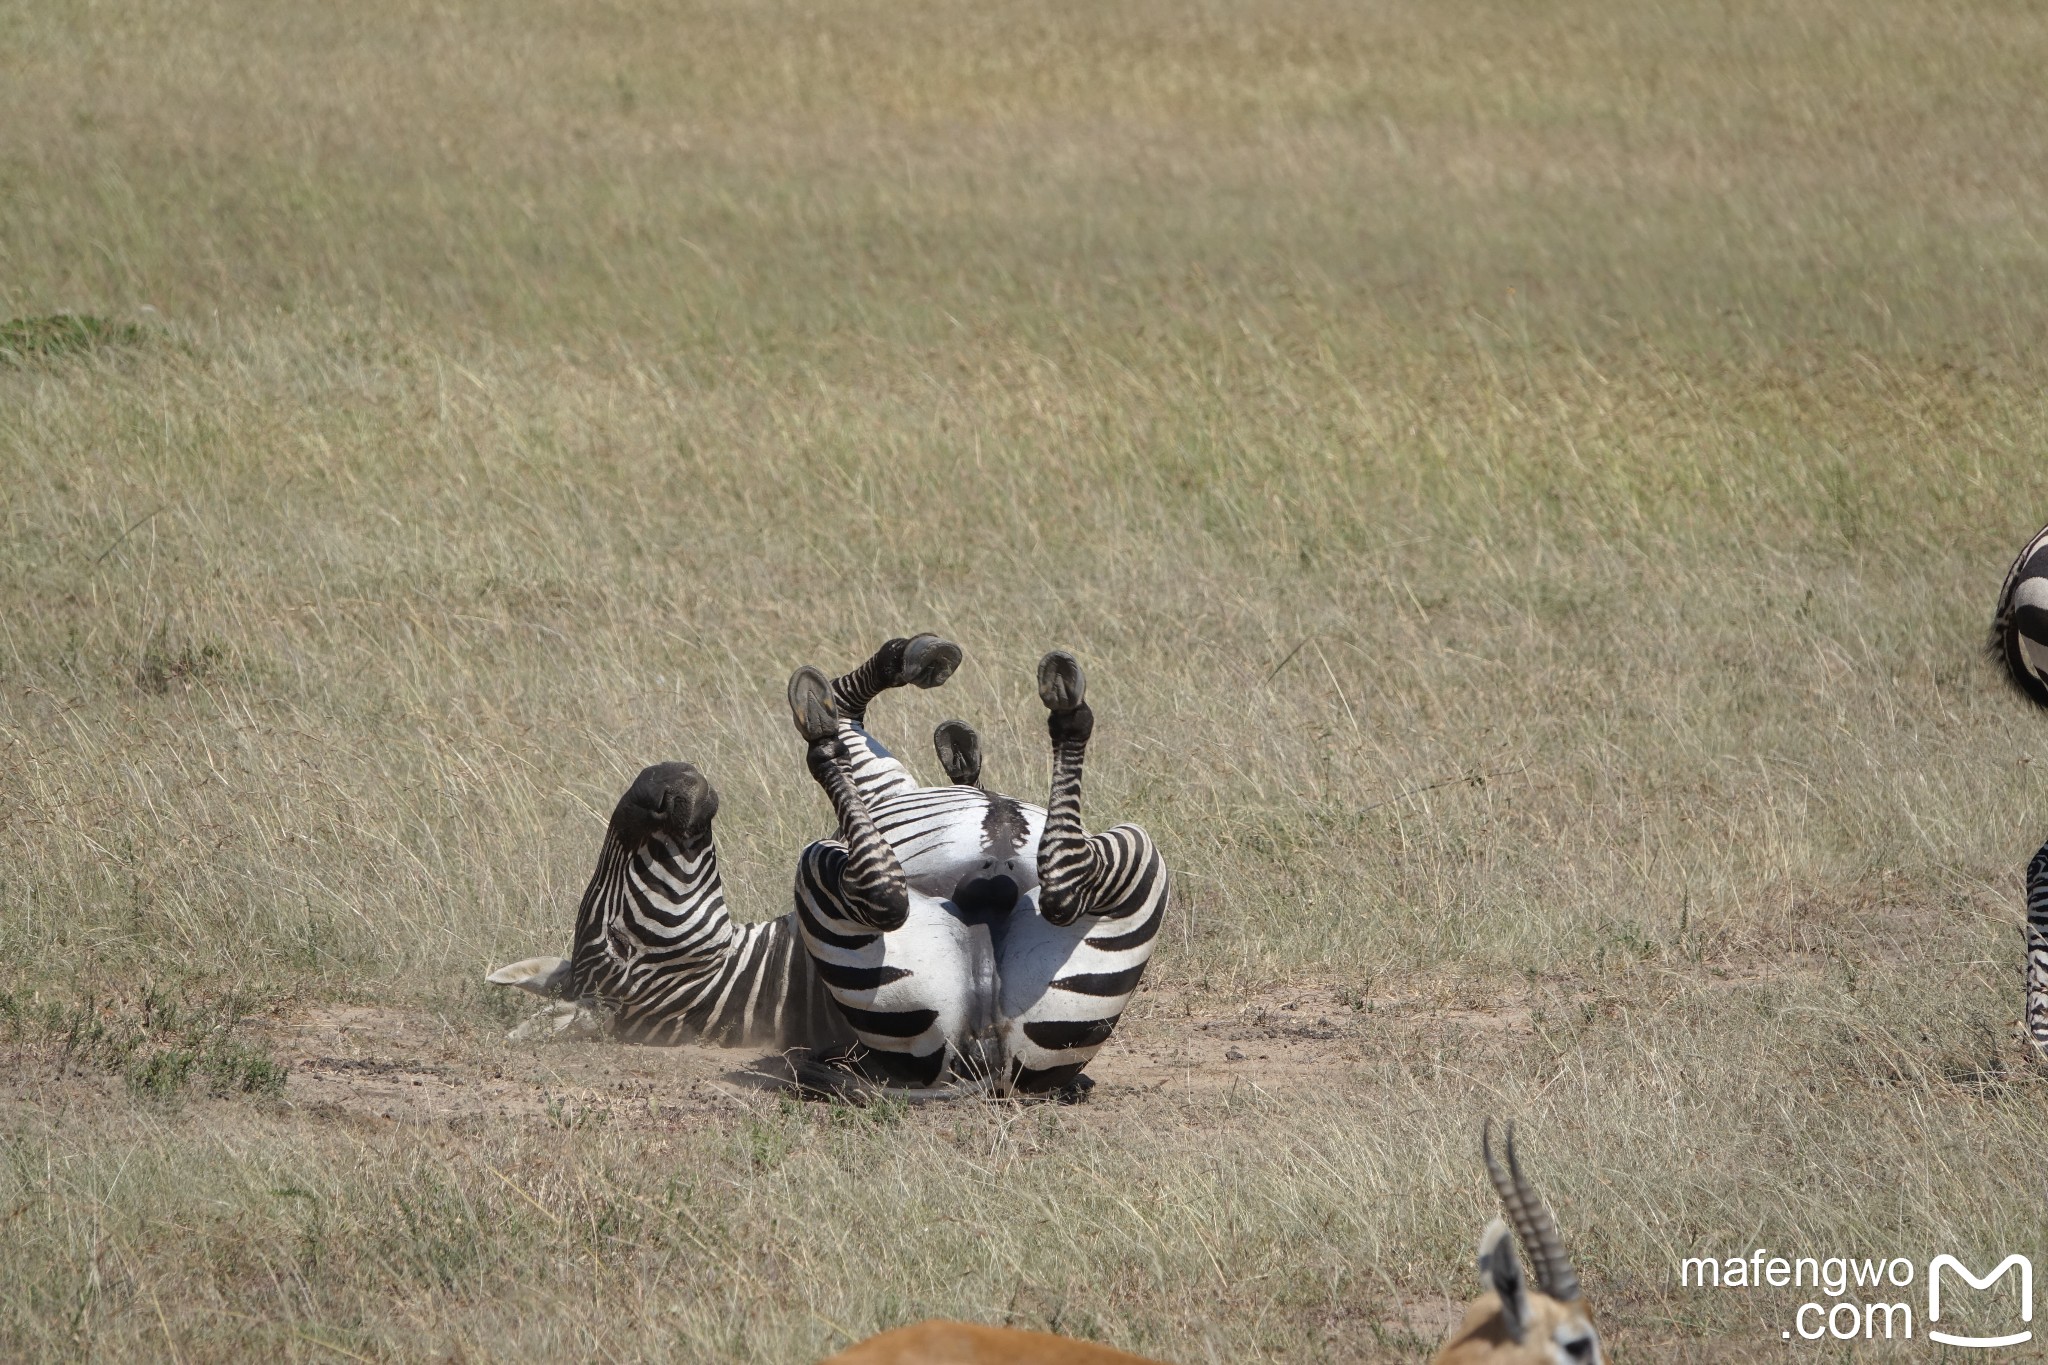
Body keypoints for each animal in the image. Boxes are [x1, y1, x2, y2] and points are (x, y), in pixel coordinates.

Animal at [487, 634, 1171, 1096]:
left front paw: (951, 726)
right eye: (620, 943)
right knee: (1027, 885)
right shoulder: (885, 794)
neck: (749, 968)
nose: (660, 780)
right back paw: (1062, 706)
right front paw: (896, 676)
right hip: (830, 875)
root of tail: (981, 1059)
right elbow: (845, 711)